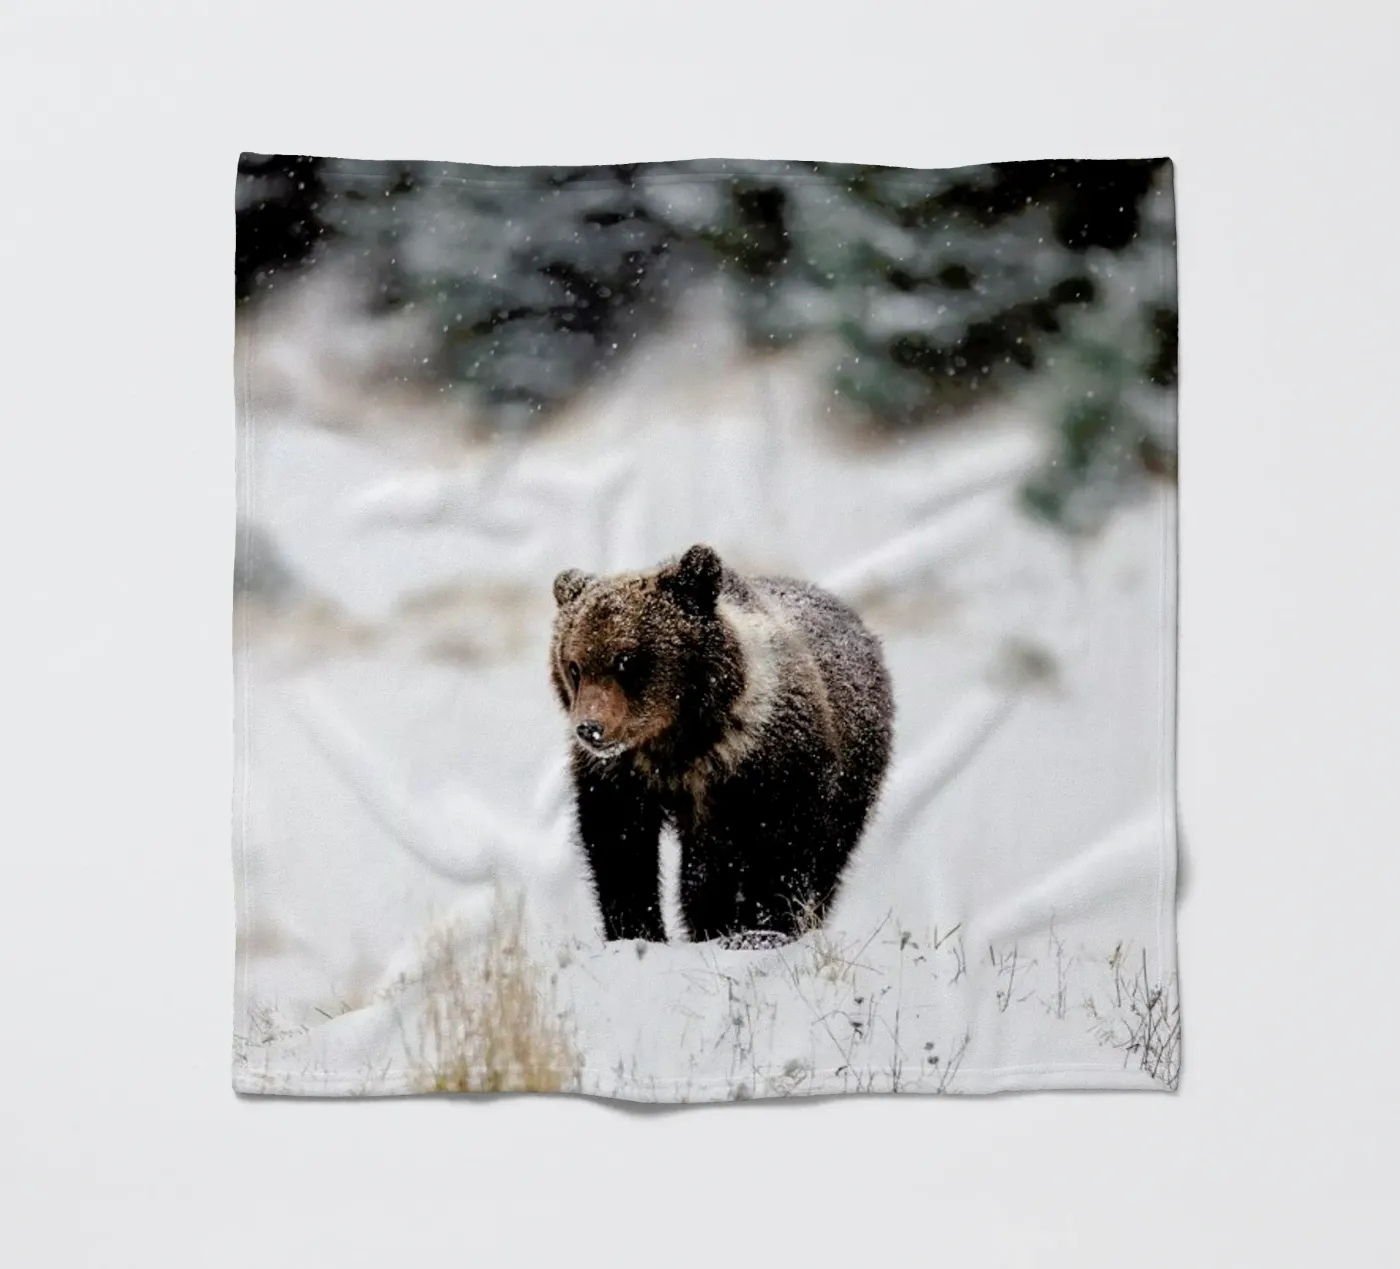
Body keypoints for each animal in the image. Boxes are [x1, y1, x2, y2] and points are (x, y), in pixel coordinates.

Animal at [550, 543, 893, 945]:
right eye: (574, 666)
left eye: (626, 661)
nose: (590, 728)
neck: (678, 744)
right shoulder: (622, 777)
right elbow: (620, 851)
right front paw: (637, 931)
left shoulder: (770, 767)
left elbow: (780, 851)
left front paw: (762, 928)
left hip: (856, 777)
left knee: (829, 857)